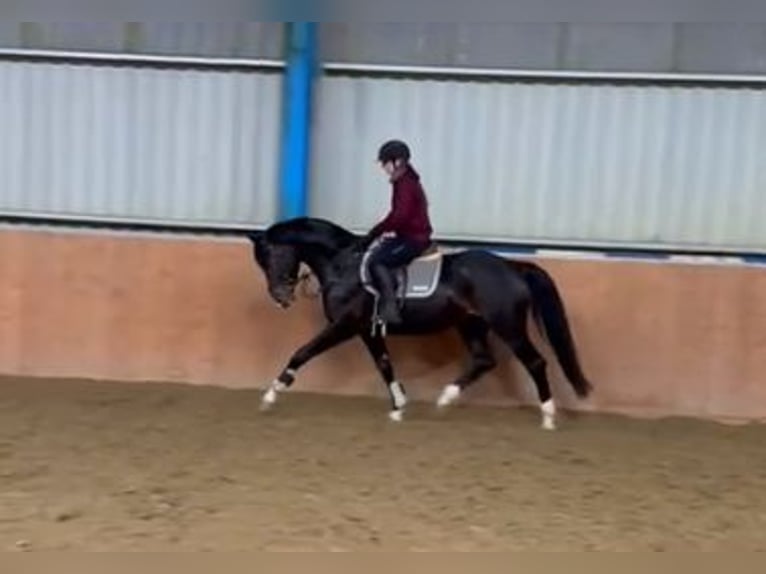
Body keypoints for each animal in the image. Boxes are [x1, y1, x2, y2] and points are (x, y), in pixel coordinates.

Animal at [247, 216, 592, 430]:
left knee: (535, 362)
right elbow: (384, 364)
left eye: (272, 255)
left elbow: (302, 352)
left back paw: (548, 417)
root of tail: (513, 266)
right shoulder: (368, 330)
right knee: (484, 360)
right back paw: (445, 398)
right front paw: (399, 406)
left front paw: (272, 393)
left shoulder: (345, 326)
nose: (280, 297)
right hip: (472, 325)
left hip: (508, 326)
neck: (343, 265)